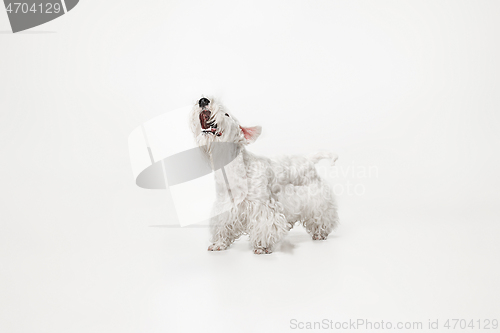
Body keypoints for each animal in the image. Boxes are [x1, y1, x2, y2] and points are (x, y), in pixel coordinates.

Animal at [189, 96, 338, 254]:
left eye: (227, 114)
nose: (203, 100)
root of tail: (308, 159)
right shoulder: (225, 205)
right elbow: (223, 225)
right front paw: (219, 243)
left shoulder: (262, 205)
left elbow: (266, 225)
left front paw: (262, 247)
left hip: (316, 197)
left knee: (322, 216)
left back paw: (320, 233)